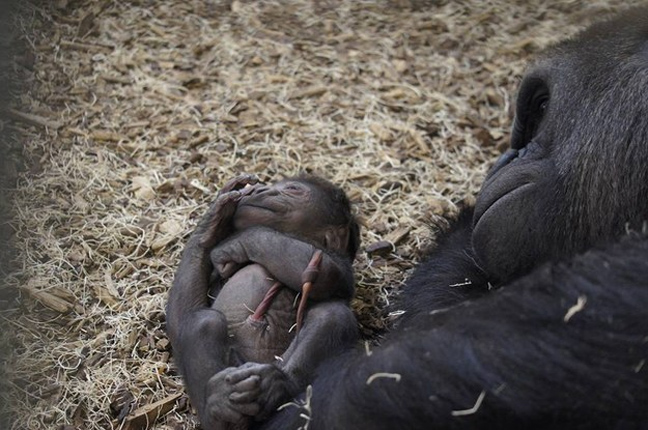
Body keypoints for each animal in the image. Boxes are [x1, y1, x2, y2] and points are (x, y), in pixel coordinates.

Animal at [166, 174, 360, 430]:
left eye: (292, 189)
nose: (261, 190)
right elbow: (180, 319)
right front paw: (213, 221)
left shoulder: (339, 266)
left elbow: (322, 271)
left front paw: (237, 241)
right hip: (237, 371)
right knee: (203, 322)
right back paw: (219, 409)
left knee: (332, 315)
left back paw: (275, 384)